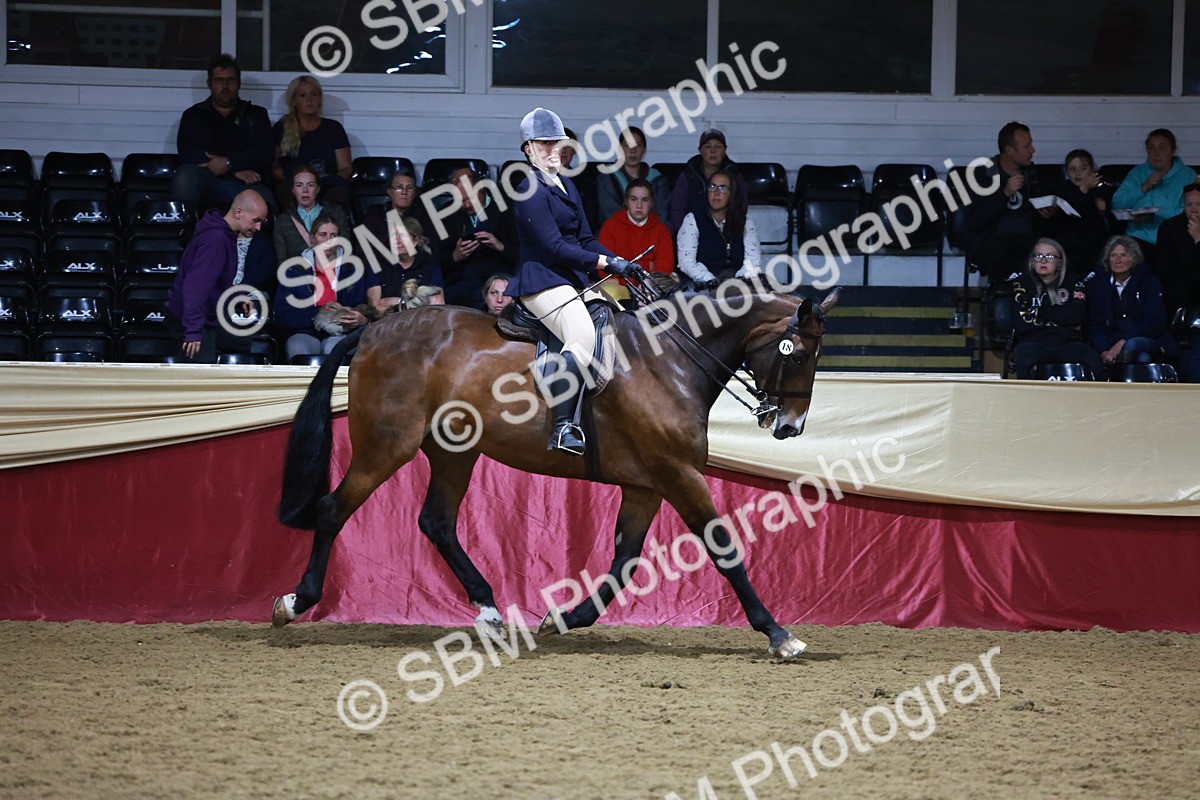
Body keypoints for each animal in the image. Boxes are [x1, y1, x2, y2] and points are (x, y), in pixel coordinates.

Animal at [273, 283, 840, 658]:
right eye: (798, 354)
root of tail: (372, 331)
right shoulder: (678, 474)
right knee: (333, 509)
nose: (790, 427)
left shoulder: (646, 484)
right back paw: (295, 602)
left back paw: (490, 612)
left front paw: (563, 619)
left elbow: (624, 563)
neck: (670, 361)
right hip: (386, 445)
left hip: (455, 452)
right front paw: (779, 634)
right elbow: (724, 548)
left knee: (436, 522)